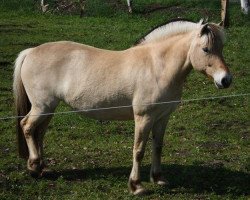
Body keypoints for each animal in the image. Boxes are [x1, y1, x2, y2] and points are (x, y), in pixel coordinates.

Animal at [13, 19, 232, 195]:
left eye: (221, 48)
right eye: (206, 49)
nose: (226, 80)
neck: (157, 67)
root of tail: (30, 52)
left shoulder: (162, 117)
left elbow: (158, 146)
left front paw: (158, 178)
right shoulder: (144, 118)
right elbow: (139, 150)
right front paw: (136, 186)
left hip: (49, 108)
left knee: (39, 133)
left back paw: (42, 167)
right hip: (42, 106)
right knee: (28, 127)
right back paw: (33, 167)